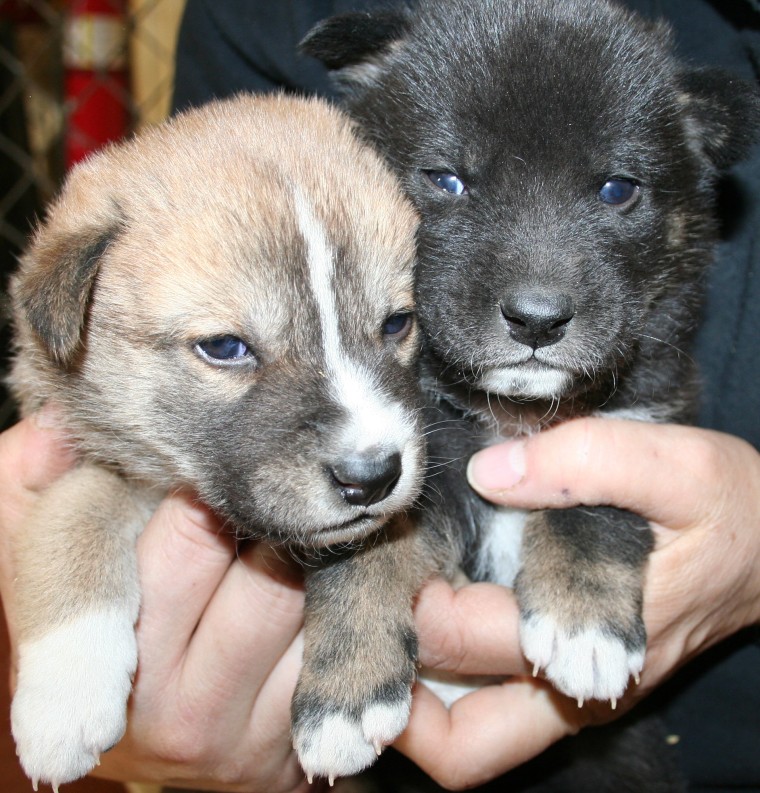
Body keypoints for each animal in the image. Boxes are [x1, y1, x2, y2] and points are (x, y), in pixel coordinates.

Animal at [8, 96, 424, 788]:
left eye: (396, 323)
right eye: (225, 347)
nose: (372, 476)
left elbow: (380, 547)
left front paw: (349, 697)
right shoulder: (94, 454)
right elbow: (71, 513)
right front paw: (64, 696)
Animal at [302, 0, 760, 760]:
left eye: (617, 189)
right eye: (446, 179)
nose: (538, 320)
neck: (508, 413)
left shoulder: (642, 417)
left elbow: (594, 498)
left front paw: (586, 626)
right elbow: (364, 543)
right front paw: (344, 693)